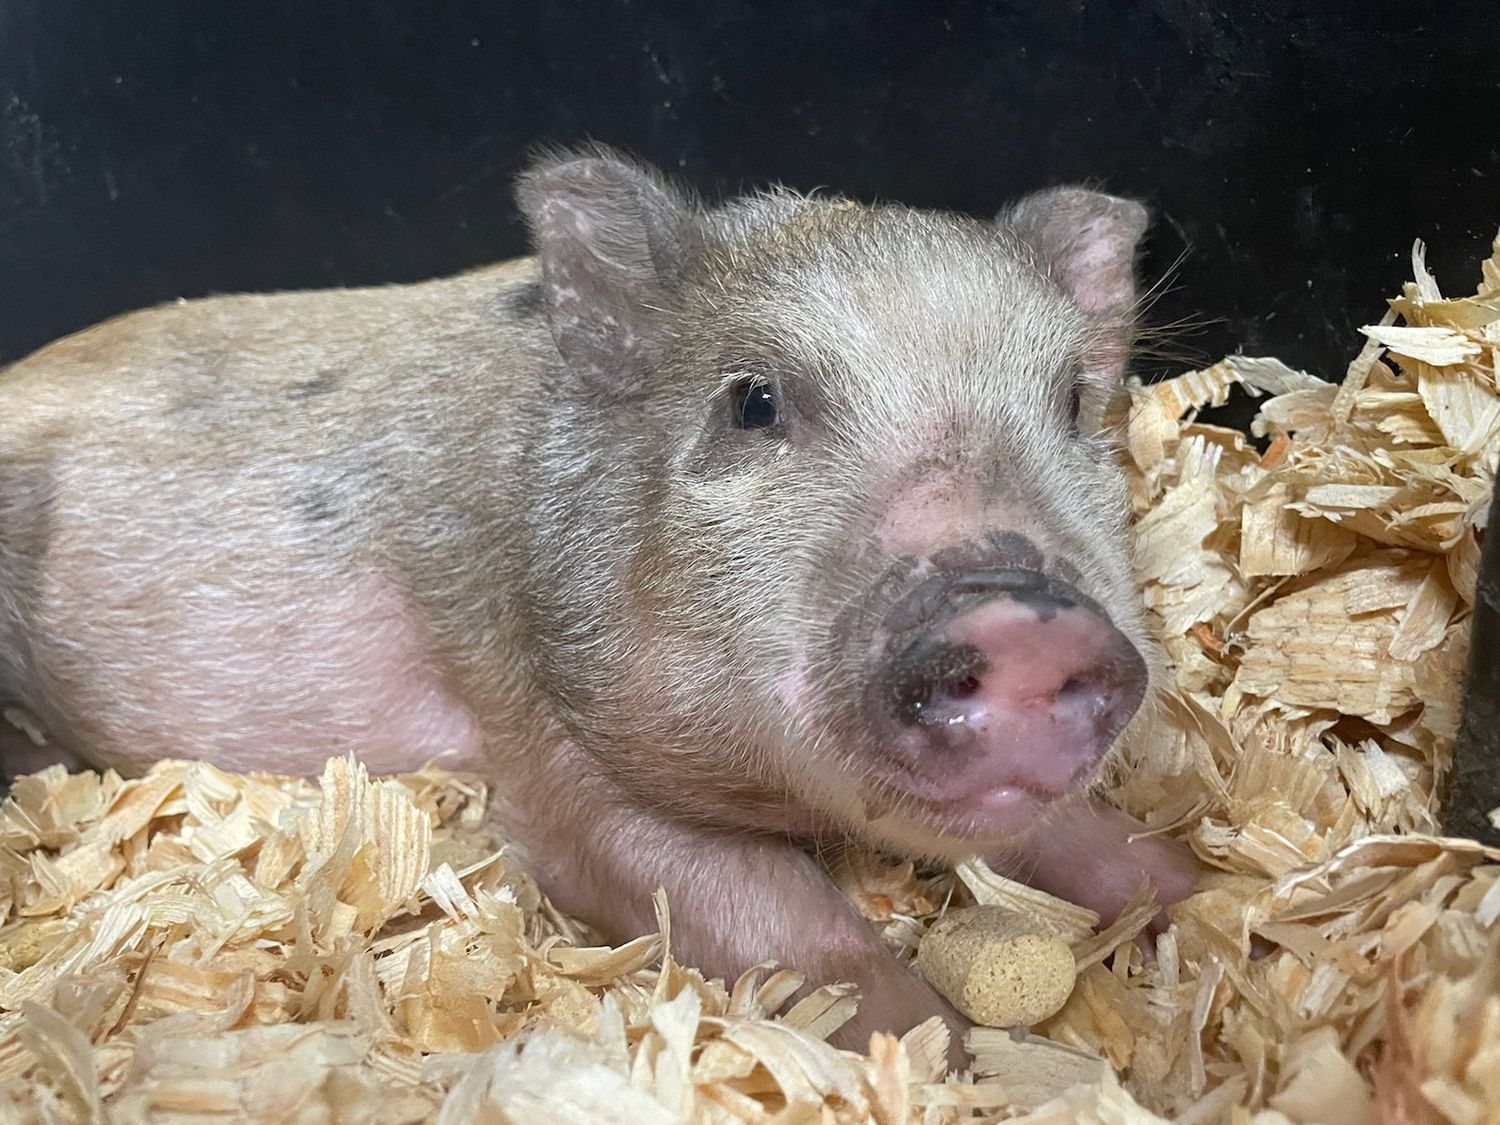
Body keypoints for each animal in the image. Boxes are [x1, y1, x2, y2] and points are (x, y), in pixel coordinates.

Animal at [0, 145, 1198, 1063]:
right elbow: (752, 902)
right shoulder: (533, 719)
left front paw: (1193, 891)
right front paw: (950, 1055)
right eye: (753, 402)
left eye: (1072, 399)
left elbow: (1093, 839)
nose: (1026, 617)